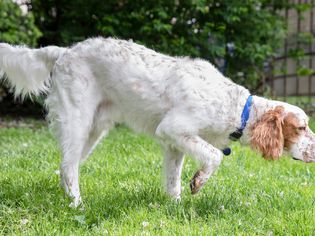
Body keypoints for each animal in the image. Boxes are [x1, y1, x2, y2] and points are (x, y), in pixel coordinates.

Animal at [0, 37, 314, 207]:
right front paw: (198, 182)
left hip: (93, 131)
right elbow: (214, 156)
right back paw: (78, 206)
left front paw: (176, 208)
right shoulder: (174, 129)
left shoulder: (175, 144)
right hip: (78, 122)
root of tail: (64, 51)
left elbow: (173, 182)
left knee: (67, 166)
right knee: (67, 168)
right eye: (301, 127)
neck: (237, 109)